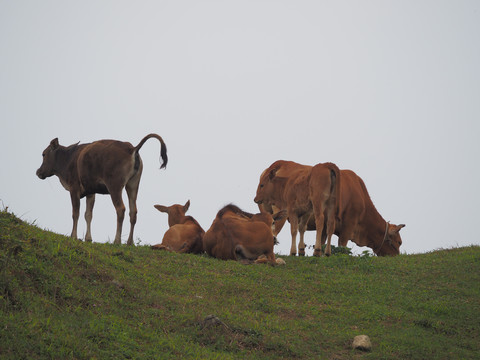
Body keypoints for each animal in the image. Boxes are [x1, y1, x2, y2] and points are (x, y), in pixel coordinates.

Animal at [35, 134, 167, 246]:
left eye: (43, 154)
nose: (38, 172)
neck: (67, 160)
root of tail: (132, 148)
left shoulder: (74, 188)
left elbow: (75, 213)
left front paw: (73, 236)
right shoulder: (91, 191)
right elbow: (88, 214)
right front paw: (88, 238)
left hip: (114, 185)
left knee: (121, 209)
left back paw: (117, 241)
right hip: (133, 184)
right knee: (133, 211)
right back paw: (130, 242)